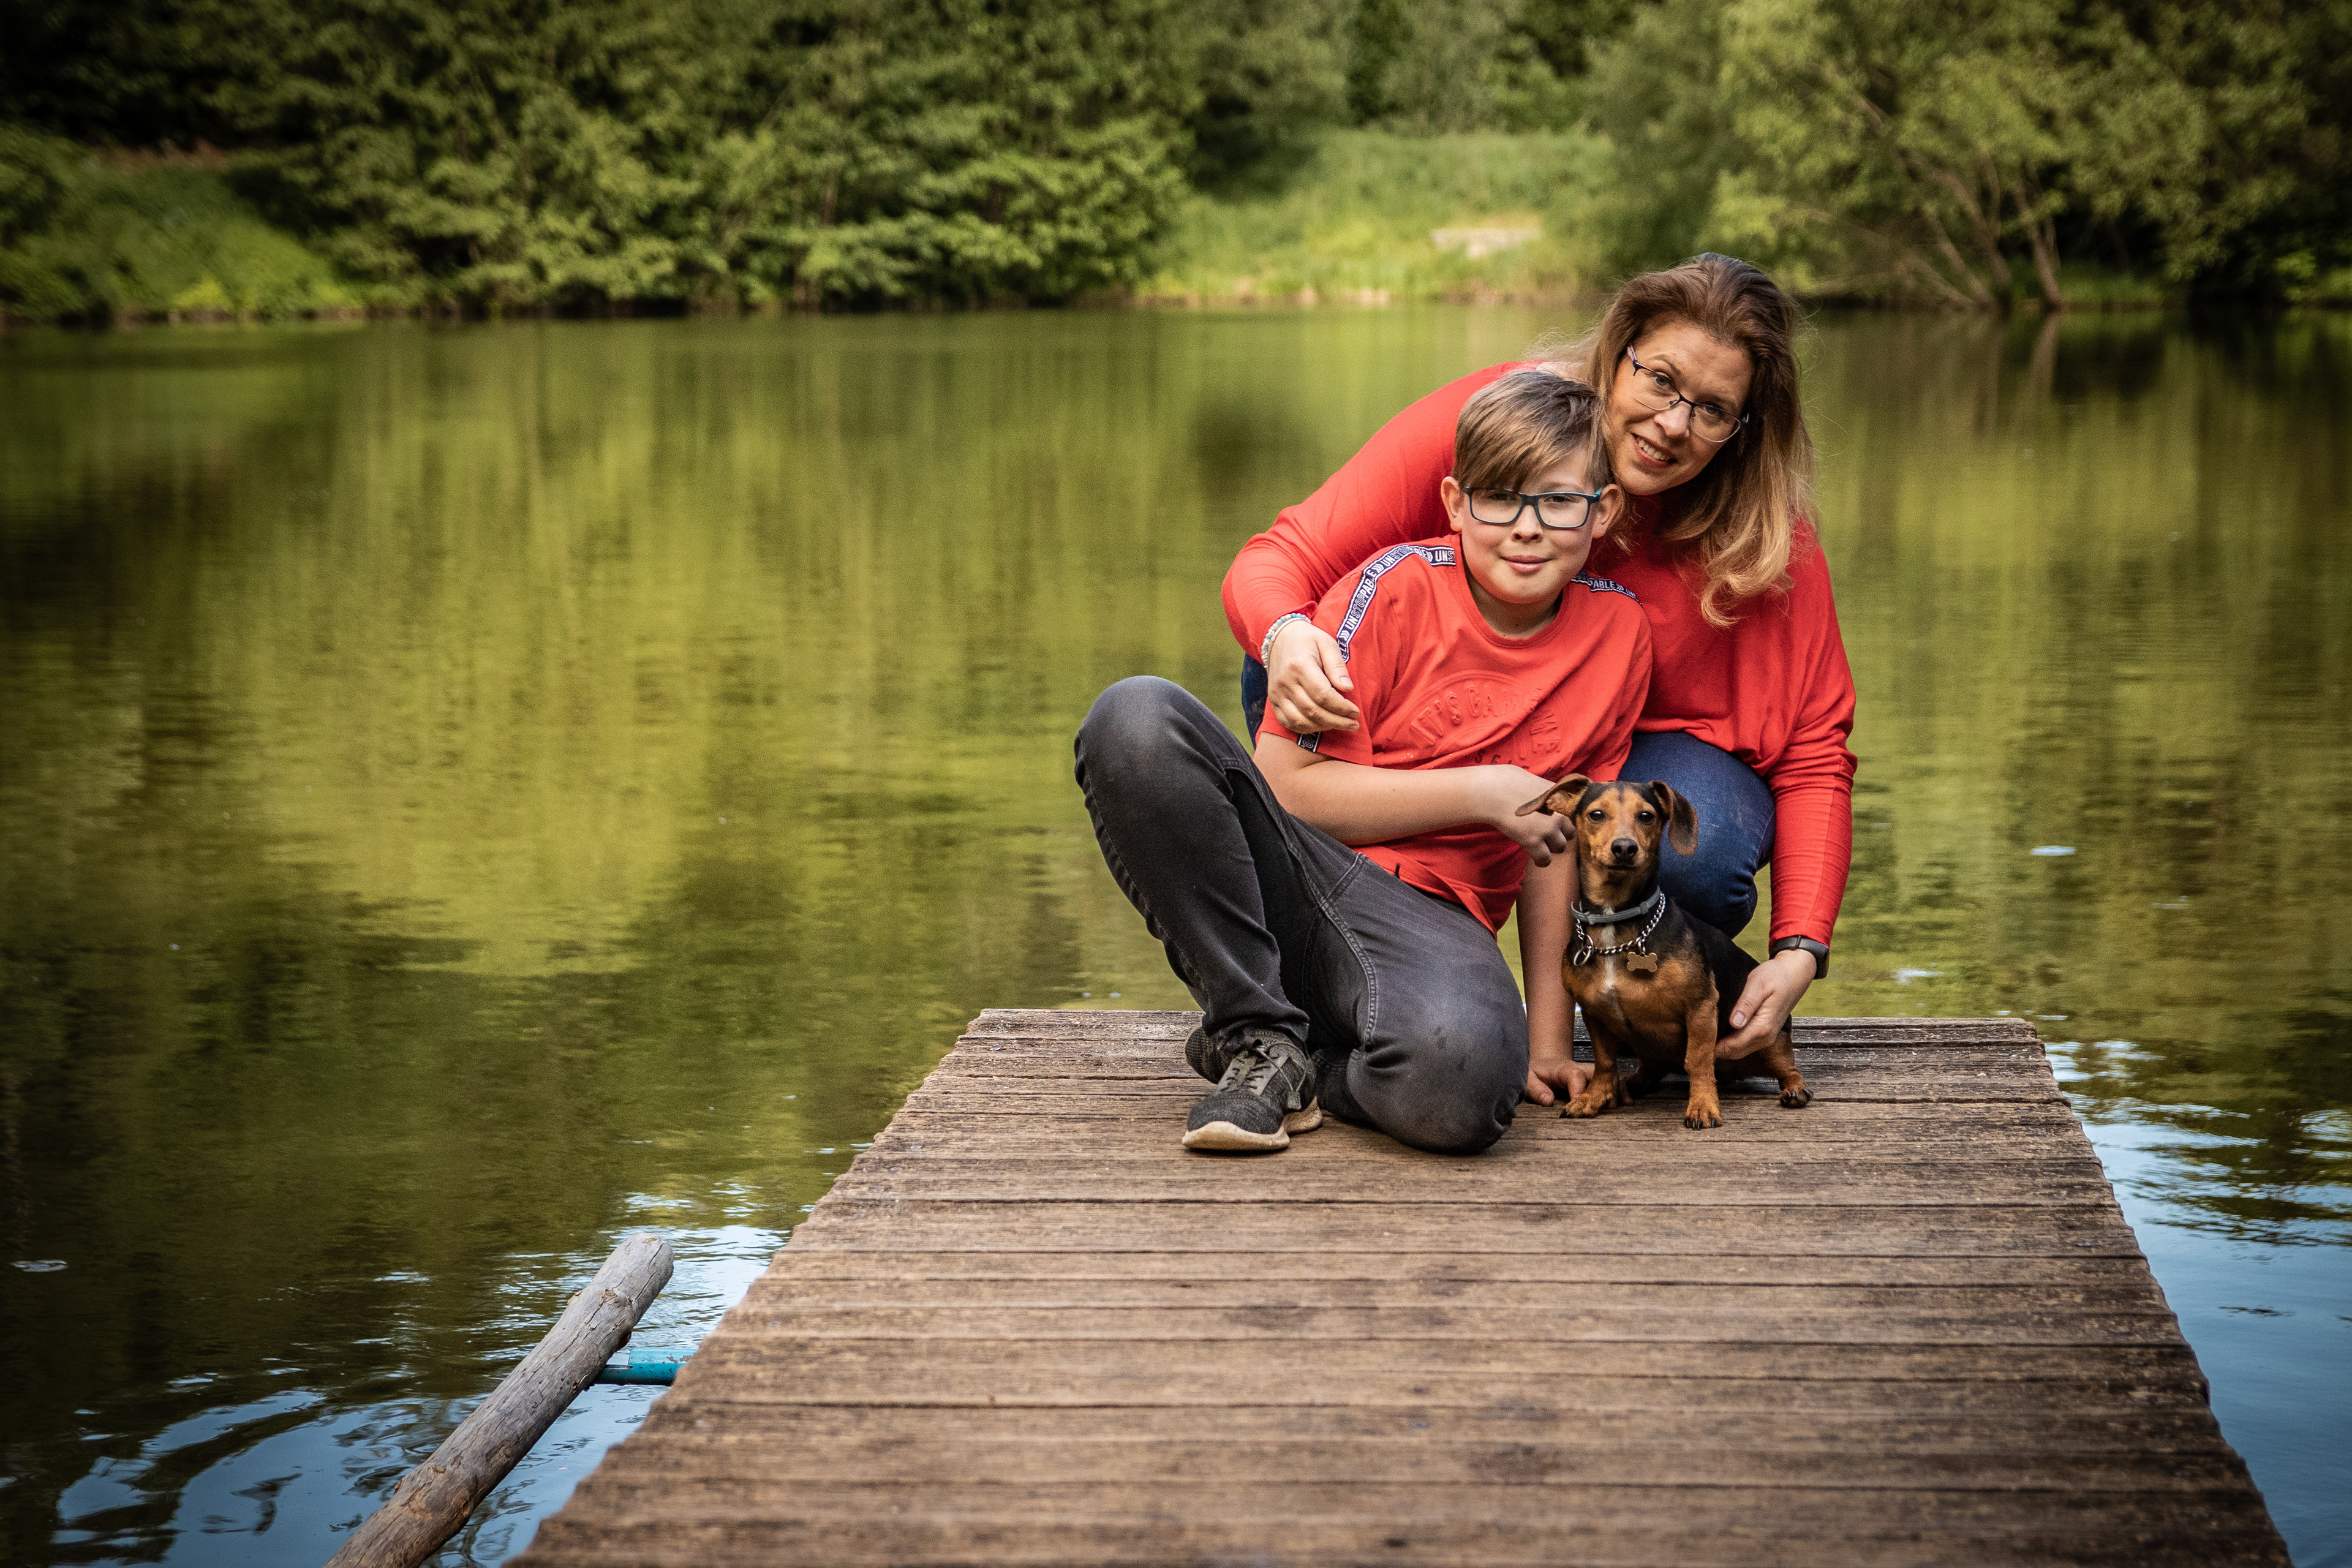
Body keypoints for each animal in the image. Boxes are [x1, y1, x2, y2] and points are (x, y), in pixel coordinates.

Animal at [1517, 777, 1811, 1129]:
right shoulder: (1594, 1013)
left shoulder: (1700, 1008)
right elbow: (1604, 1062)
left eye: (1647, 816)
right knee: (1650, 1071)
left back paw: (1794, 1091)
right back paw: (1629, 1085)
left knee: (1789, 1069)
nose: (1625, 848)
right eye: (1596, 814)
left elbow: (1698, 1061)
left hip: (1772, 1042)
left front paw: (1703, 1106)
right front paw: (1593, 1097)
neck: (1614, 920)